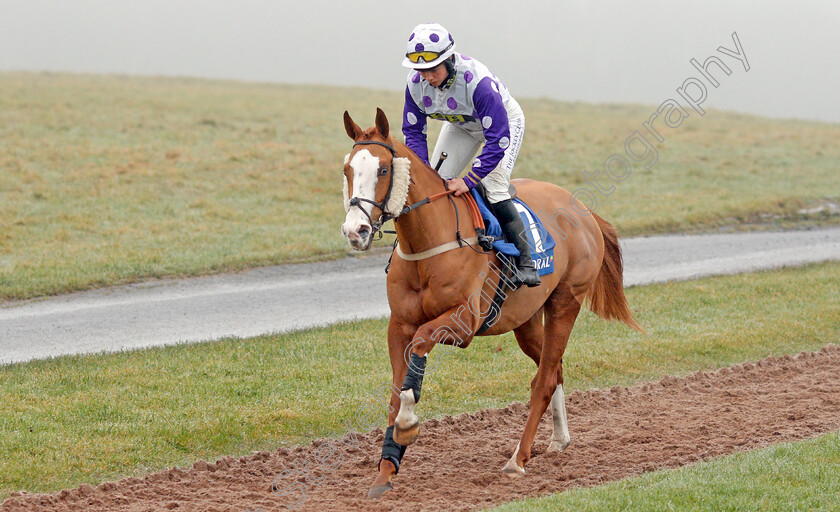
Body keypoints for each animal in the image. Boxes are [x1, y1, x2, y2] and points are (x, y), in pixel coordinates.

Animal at [338, 109, 640, 500]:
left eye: (383, 170)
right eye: (347, 169)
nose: (355, 231)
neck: (429, 244)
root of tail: (583, 209)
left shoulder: (462, 323)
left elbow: (420, 347)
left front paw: (407, 425)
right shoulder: (398, 325)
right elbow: (396, 388)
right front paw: (385, 471)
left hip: (565, 303)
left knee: (544, 379)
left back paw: (518, 459)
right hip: (526, 320)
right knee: (554, 368)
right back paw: (559, 439)